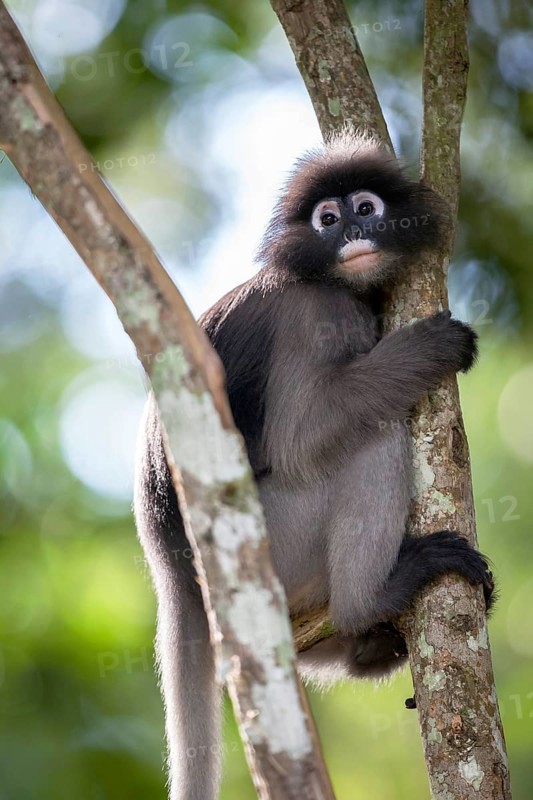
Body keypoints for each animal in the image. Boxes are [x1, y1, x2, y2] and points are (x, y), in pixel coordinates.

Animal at [134, 134, 494, 800]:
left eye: (367, 209)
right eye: (328, 220)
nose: (351, 232)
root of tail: (175, 566)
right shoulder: (312, 312)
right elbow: (301, 435)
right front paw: (429, 348)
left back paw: (372, 644)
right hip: (277, 542)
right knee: (374, 434)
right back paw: (371, 601)